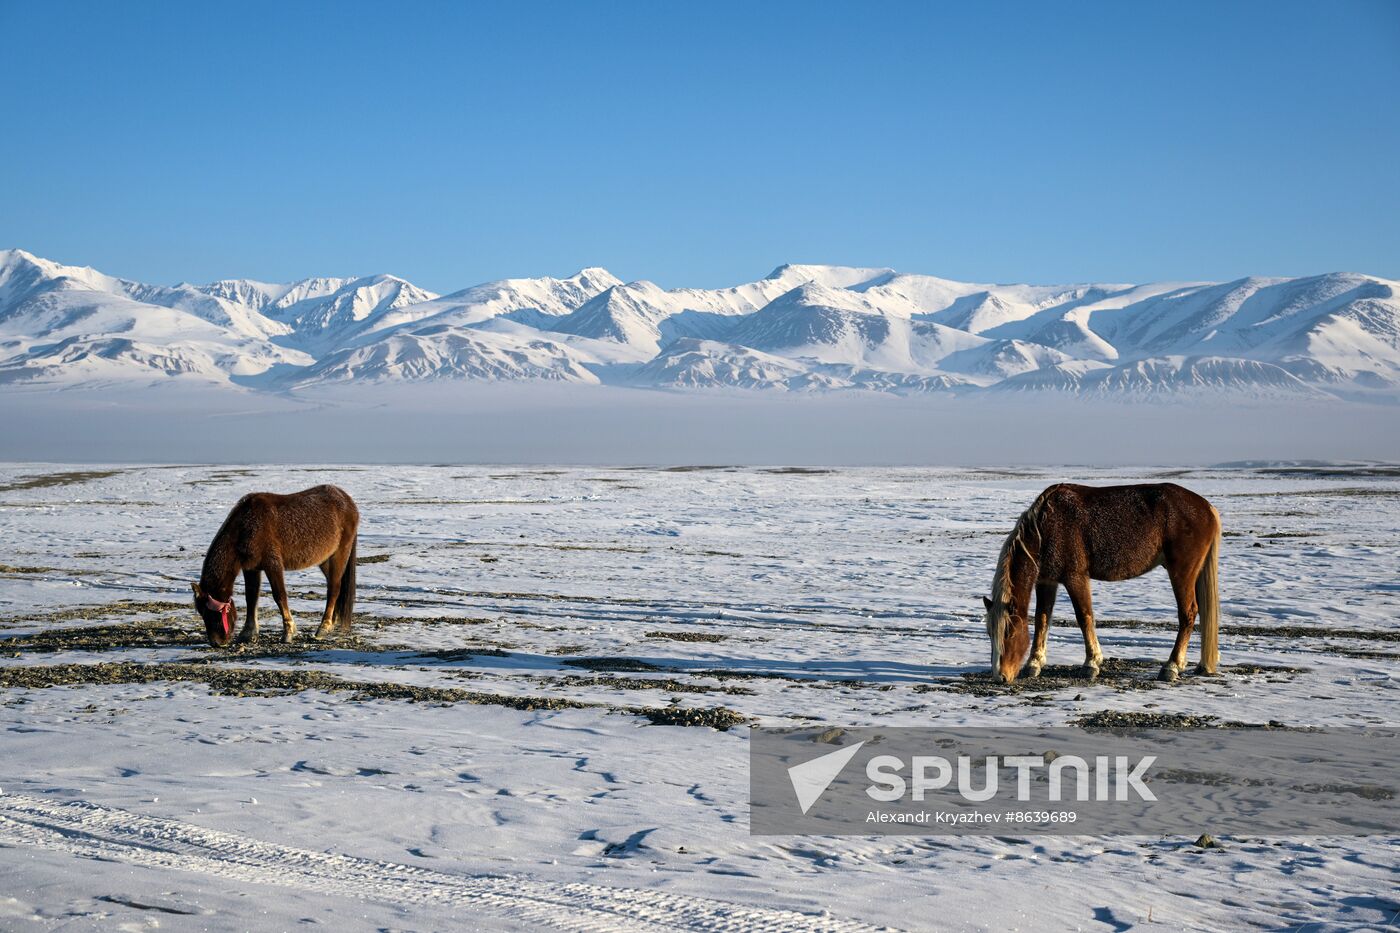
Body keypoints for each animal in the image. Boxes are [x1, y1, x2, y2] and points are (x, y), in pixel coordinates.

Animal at [193, 481, 361, 644]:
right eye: (202, 613)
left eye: (210, 613)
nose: (216, 642)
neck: (247, 526)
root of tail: (348, 501)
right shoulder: (251, 568)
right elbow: (251, 597)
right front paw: (249, 632)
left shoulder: (272, 565)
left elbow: (279, 596)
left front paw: (288, 632)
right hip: (325, 560)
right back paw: (332, 622)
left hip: (339, 554)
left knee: (334, 588)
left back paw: (323, 627)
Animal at [985, 481, 1215, 680]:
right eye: (989, 633)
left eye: (1009, 633)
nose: (1000, 676)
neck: (1047, 527)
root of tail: (1206, 507)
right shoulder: (1047, 581)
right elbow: (1042, 618)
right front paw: (1034, 663)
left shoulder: (1075, 577)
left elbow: (1084, 616)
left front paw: (1092, 663)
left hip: (1181, 572)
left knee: (1188, 613)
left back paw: (1172, 667)